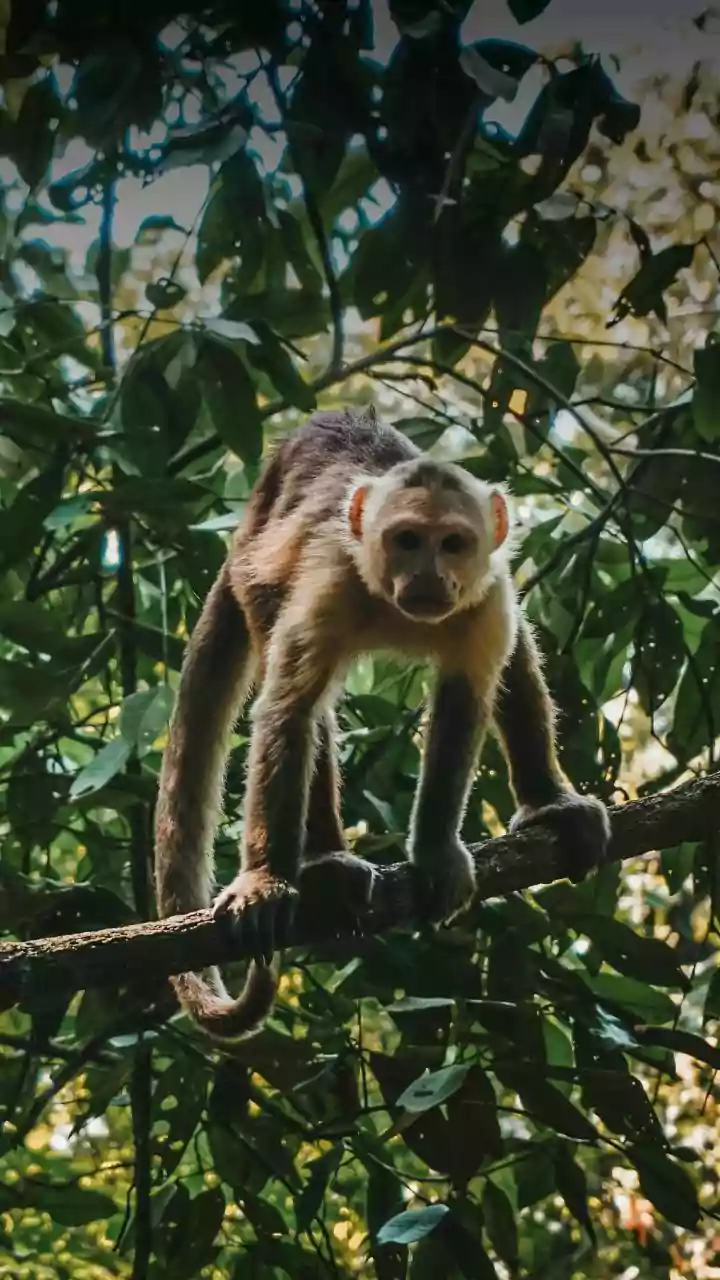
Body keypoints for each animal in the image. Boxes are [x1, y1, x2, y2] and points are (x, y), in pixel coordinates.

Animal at [154, 407, 610, 1040]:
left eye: (452, 544)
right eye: (407, 540)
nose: (427, 577)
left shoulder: (486, 593)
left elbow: (467, 698)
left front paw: (436, 852)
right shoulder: (333, 580)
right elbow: (289, 709)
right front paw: (266, 879)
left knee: (515, 652)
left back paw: (549, 801)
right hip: (255, 579)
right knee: (302, 700)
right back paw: (324, 864)